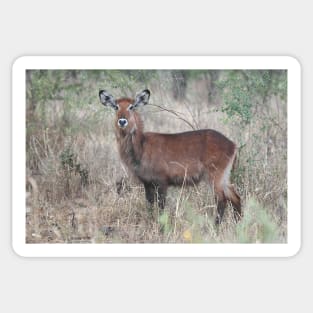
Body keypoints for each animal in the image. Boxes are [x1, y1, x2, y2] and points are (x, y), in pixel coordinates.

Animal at [98, 89, 240, 223]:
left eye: (131, 106)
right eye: (116, 106)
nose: (122, 121)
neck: (142, 146)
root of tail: (232, 144)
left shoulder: (162, 181)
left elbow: (161, 207)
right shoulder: (148, 183)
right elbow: (149, 206)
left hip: (215, 176)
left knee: (222, 200)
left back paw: (215, 226)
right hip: (224, 177)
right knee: (235, 197)